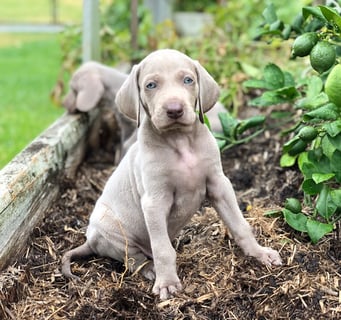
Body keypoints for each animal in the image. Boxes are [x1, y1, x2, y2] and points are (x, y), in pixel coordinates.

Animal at [61, 48, 282, 300]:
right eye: (150, 85)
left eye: (188, 80)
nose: (174, 110)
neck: (180, 140)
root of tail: (90, 241)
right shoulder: (155, 201)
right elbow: (162, 249)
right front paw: (167, 283)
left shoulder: (219, 184)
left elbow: (240, 225)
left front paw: (259, 254)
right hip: (110, 229)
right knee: (134, 259)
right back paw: (150, 270)